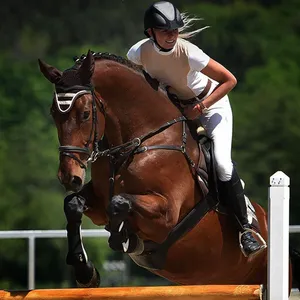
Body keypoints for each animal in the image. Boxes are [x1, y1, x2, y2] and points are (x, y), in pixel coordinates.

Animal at [38, 50, 298, 292]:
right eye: (53, 113)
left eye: (85, 114)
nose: (69, 176)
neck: (141, 141)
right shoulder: (99, 205)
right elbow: (73, 204)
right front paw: (85, 272)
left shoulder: (167, 213)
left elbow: (120, 202)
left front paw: (124, 239)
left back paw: (250, 239)